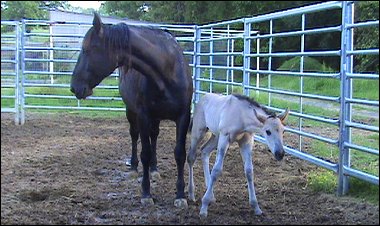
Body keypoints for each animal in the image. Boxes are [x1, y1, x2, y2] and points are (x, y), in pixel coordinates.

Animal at [70, 11, 193, 207]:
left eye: (88, 50)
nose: (75, 87)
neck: (167, 72)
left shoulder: (183, 116)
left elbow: (180, 153)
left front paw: (180, 195)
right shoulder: (143, 116)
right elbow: (145, 153)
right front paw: (146, 193)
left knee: (154, 136)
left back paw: (154, 169)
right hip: (132, 112)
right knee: (135, 136)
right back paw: (134, 167)